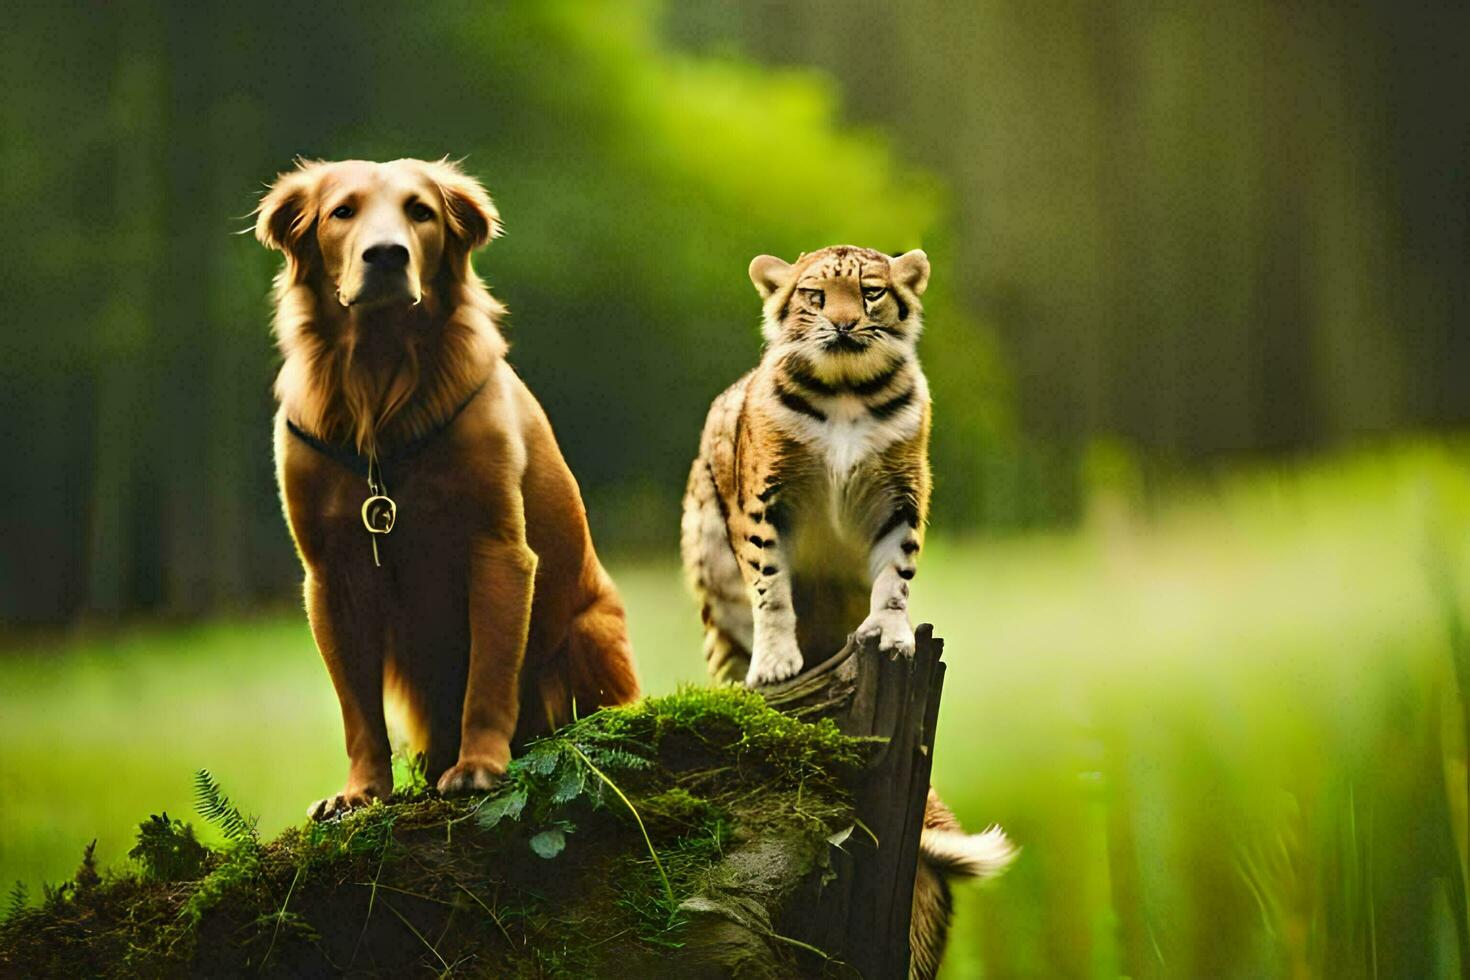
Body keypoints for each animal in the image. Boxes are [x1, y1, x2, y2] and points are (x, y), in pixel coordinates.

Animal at [254, 159, 643, 822]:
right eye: (342, 212)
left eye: (421, 212)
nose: (387, 255)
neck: (380, 383)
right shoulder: (329, 576)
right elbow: (358, 711)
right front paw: (361, 791)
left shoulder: (498, 548)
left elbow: (488, 675)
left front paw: (479, 765)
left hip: (589, 633)